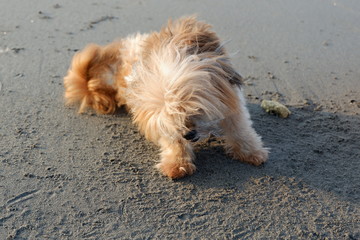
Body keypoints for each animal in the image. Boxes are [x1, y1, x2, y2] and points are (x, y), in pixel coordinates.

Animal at [63, 16, 268, 178]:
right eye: (172, 119)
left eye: (195, 109)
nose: (188, 134)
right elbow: (171, 140)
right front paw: (177, 164)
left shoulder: (229, 96)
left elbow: (239, 128)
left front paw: (251, 152)